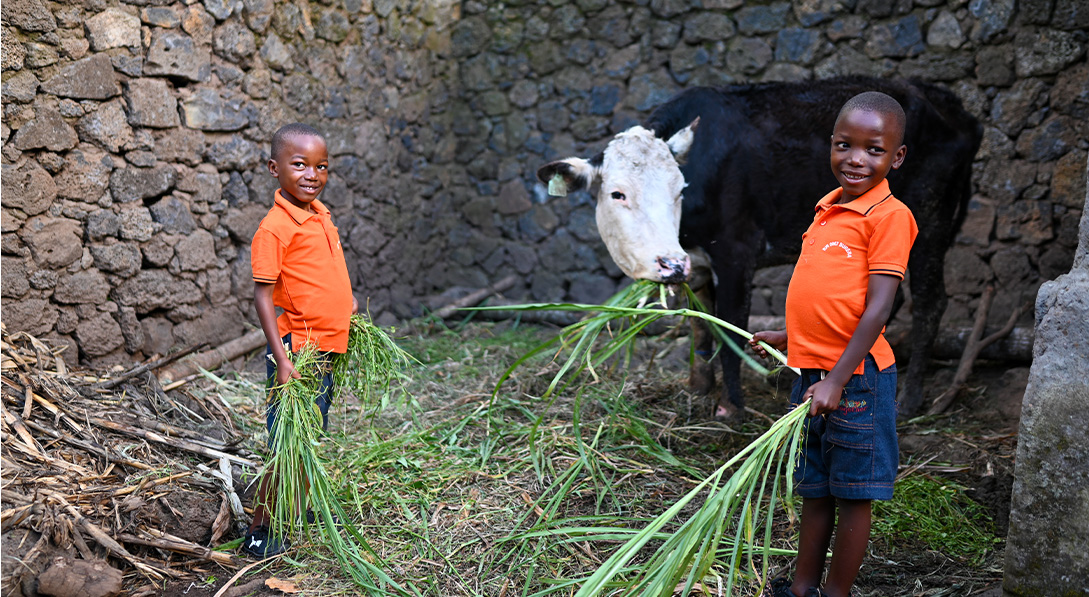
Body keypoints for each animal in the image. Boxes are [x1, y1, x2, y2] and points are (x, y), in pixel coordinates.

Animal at [540, 75, 984, 420]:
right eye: (618, 194)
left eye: (679, 189)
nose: (670, 263)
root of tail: (956, 107)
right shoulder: (699, 262)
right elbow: (700, 326)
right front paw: (697, 386)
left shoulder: (736, 253)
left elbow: (731, 331)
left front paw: (730, 407)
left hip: (928, 224)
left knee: (929, 302)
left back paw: (909, 400)